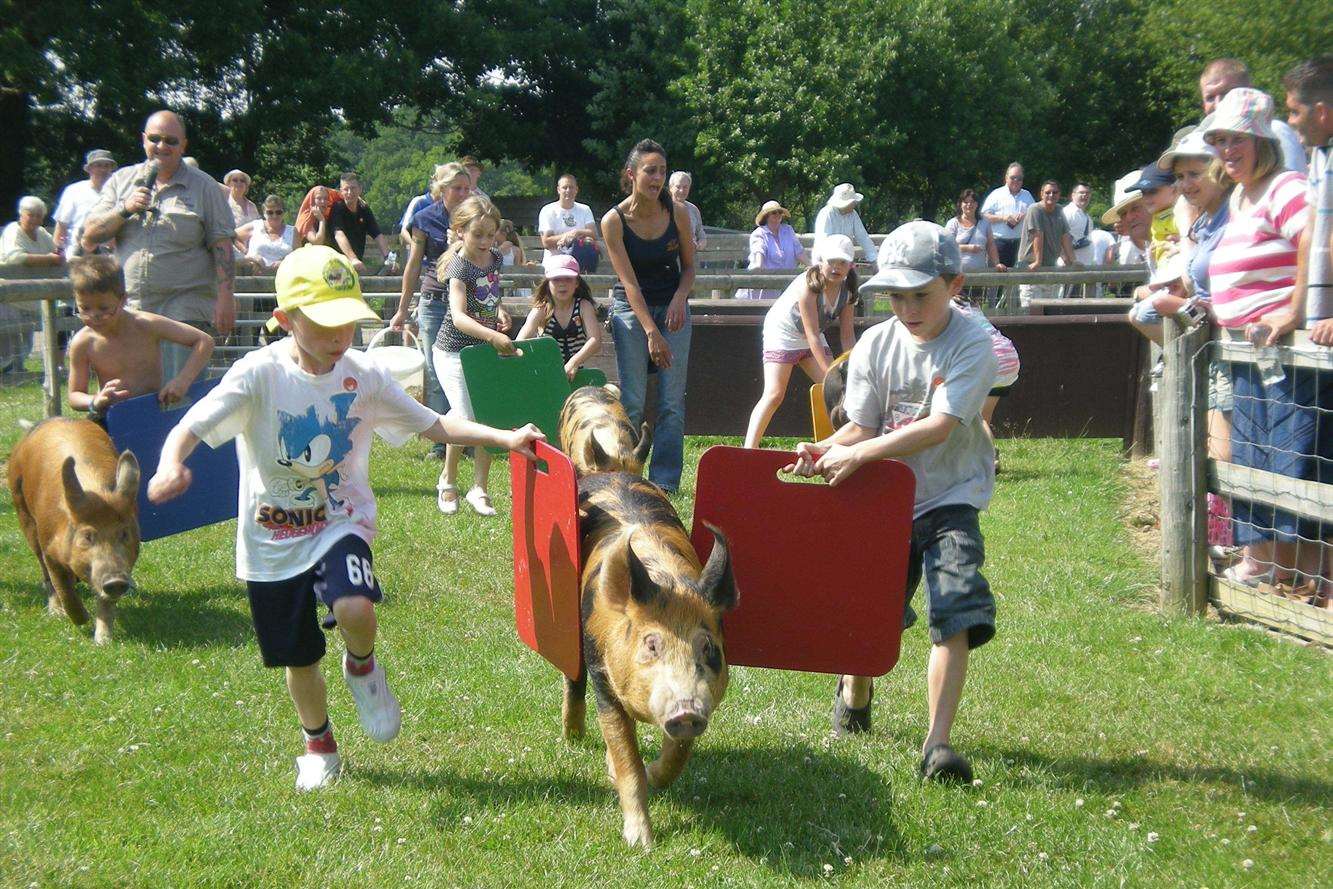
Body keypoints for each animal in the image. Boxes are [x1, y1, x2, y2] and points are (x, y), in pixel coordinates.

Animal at [8, 413, 140, 642]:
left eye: (124, 533)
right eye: (87, 536)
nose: (116, 581)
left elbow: (105, 601)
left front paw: (103, 641)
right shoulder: (49, 548)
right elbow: (62, 587)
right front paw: (81, 619)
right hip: (23, 512)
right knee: (45, 574)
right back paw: (55, 612)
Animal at [562, 471, 741, 847]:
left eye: (708, 647)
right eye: (652, 644)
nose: (686, 709)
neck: (668, 582)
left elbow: (677, 755)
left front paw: (652, 773)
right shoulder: (603, 679)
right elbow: (626, 758)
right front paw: (641, 843)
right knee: (573, 679)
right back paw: (573, 738)